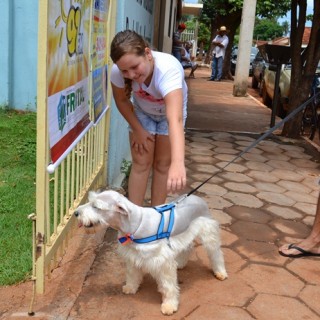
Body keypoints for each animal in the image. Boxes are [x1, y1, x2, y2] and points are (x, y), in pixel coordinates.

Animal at [74, 190, 228, 316]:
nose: (76, 213)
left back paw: (220, 272)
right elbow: (132, 275)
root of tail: (197, 197)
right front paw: (131, 287)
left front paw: (169, 305)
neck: (135, 225)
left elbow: (168, 286)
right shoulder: (132, 257)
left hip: (209, 234)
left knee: (216, 254)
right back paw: (181, 263)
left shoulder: (163, 263)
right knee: (188, 247)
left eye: (96, 206)